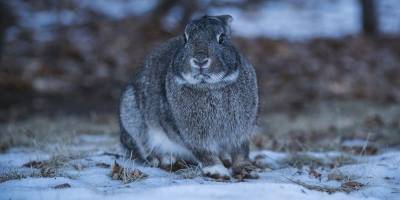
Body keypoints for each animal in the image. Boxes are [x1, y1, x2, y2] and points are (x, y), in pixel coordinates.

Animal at [118, 14, 260, 179]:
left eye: (222, 38)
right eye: (185, 39)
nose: (200, 59)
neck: (209, 86)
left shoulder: (241, 132)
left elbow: (241, 151)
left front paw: (246, 169)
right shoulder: (191, 135)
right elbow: (204, 153)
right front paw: (217, 171)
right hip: (131, 116)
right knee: (143, 148)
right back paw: (164, 159)